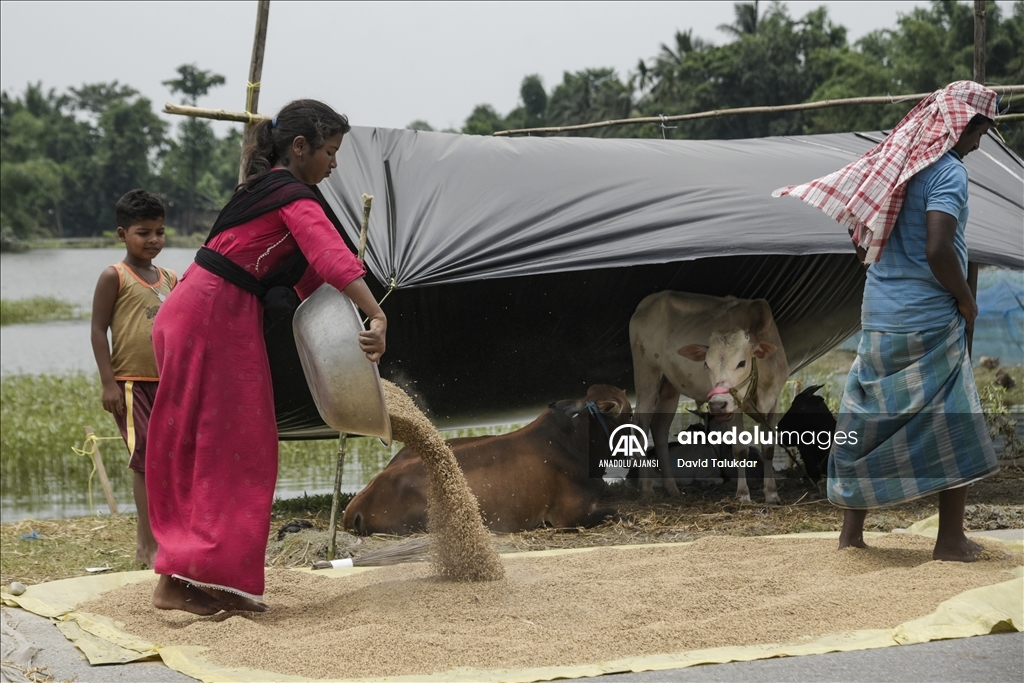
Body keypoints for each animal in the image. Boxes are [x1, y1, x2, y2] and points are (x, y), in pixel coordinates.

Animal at [626, 290, 786, 505]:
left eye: (742, 362)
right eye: (706, 364)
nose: (717, 404)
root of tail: (648, 301)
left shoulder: (773, 402)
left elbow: (768, 449)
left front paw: (771, 493)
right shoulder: (733, 408)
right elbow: (740, 450)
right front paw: (743, 495)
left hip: (669, 388)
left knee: (659, 429)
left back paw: (672, 489)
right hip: (647, 376)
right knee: (641, 426)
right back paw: (646, 488)